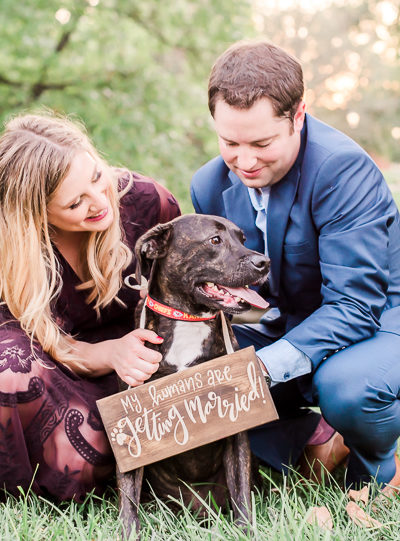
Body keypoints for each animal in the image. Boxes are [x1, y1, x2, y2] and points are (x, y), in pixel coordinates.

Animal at [117, 214, 270, 536]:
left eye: (242, 239)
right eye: (215, 240)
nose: (264, 262)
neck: (188, 319)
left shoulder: (236, 427)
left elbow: (241, 492)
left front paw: (245, 531)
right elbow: (128, 497)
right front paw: (129, 532)